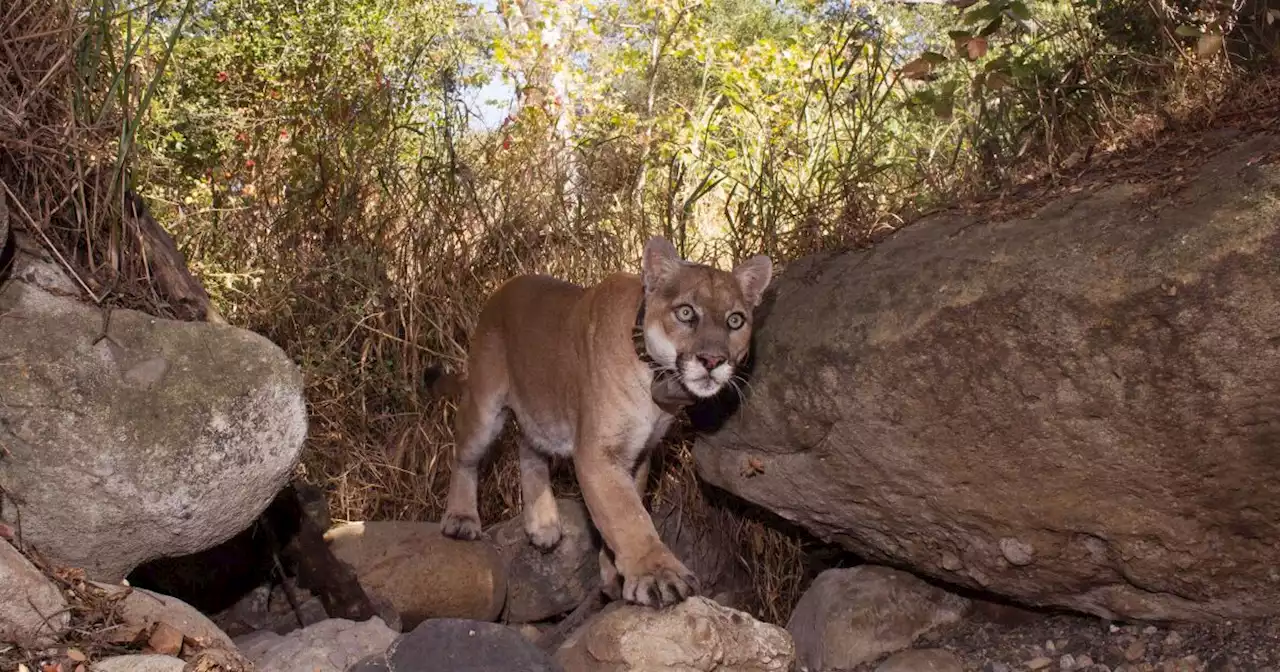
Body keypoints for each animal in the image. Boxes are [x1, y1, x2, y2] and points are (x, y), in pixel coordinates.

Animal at [445, 236, 768, 606]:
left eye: (735, 321)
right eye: (686, 312)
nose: (713, 360)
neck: (655, 375)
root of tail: (505, 286)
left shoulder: (639, 453)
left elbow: (625, 507)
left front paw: (614, 574)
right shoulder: (598, 454)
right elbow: (626, 514)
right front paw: (658, 575)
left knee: (528, 448)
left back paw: (542, 523)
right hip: (485, 407)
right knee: (465, 454)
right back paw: (461, 518)